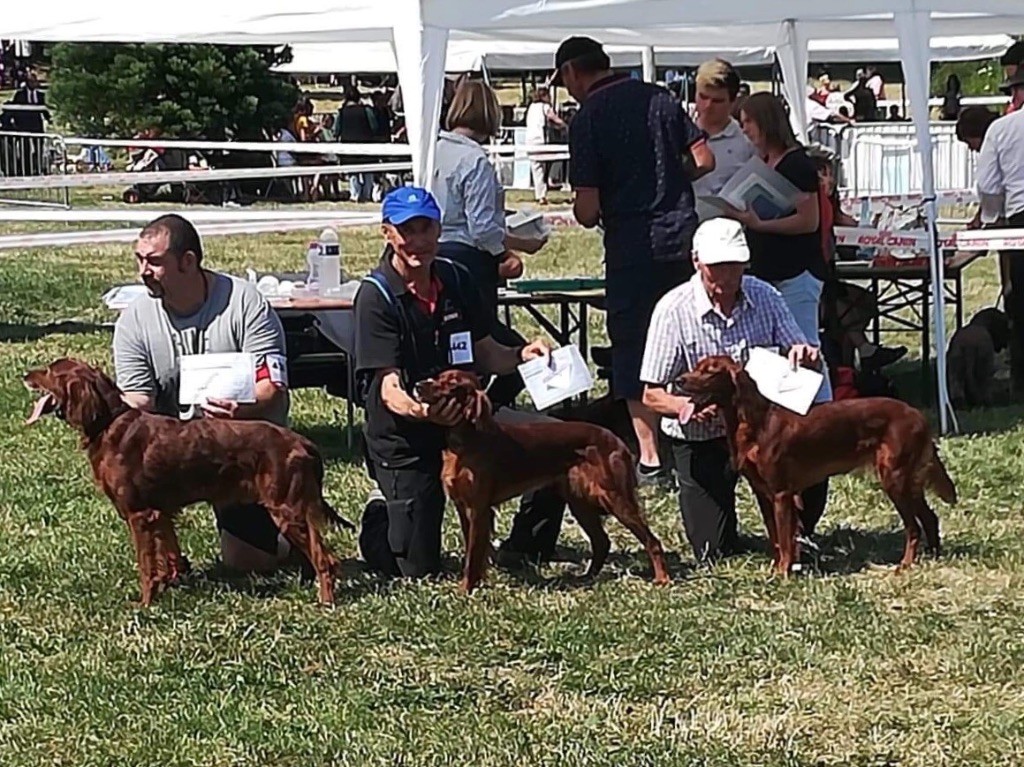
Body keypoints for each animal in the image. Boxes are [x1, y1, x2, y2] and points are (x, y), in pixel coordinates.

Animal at [415, 368, 671, 593]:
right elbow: (476, 552)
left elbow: (473, 556)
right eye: (438, 377)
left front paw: (465, 590)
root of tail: (617, 441)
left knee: (652, 541)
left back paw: (662, 579)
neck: (465, 441)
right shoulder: (462, 506)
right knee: (602, 542)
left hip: (615, 496)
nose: (417, 385)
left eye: (452, 384)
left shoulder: (479, 508)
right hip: (580, 503)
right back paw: (587, 577)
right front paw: (477, 583)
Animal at [675, 356, 954, 573]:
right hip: (907, 480)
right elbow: (777, 538)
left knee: (913, 527)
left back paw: (905, 564)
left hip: (894, 479)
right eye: (696, 366)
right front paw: (778, 567)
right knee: (929, 517)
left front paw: (783, 573)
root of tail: (917, 415)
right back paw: (933, 556)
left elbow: (785, 538)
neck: (755, 422)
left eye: (710, 370)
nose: (679, 380)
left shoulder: (781, 493)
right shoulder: (763, 493)